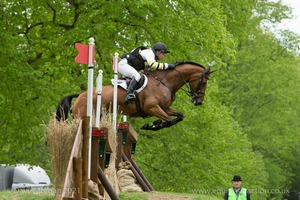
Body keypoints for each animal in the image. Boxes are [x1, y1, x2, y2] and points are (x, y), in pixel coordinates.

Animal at [56, 61, 214, 131]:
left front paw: (154, 124)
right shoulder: (152, 107)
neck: (165, 82)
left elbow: (179, 116)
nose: (198, 101)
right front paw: (153, 125)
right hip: (82, 117)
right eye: (204, 82)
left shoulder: (165, 108)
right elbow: (168, 120)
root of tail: (81, 95)